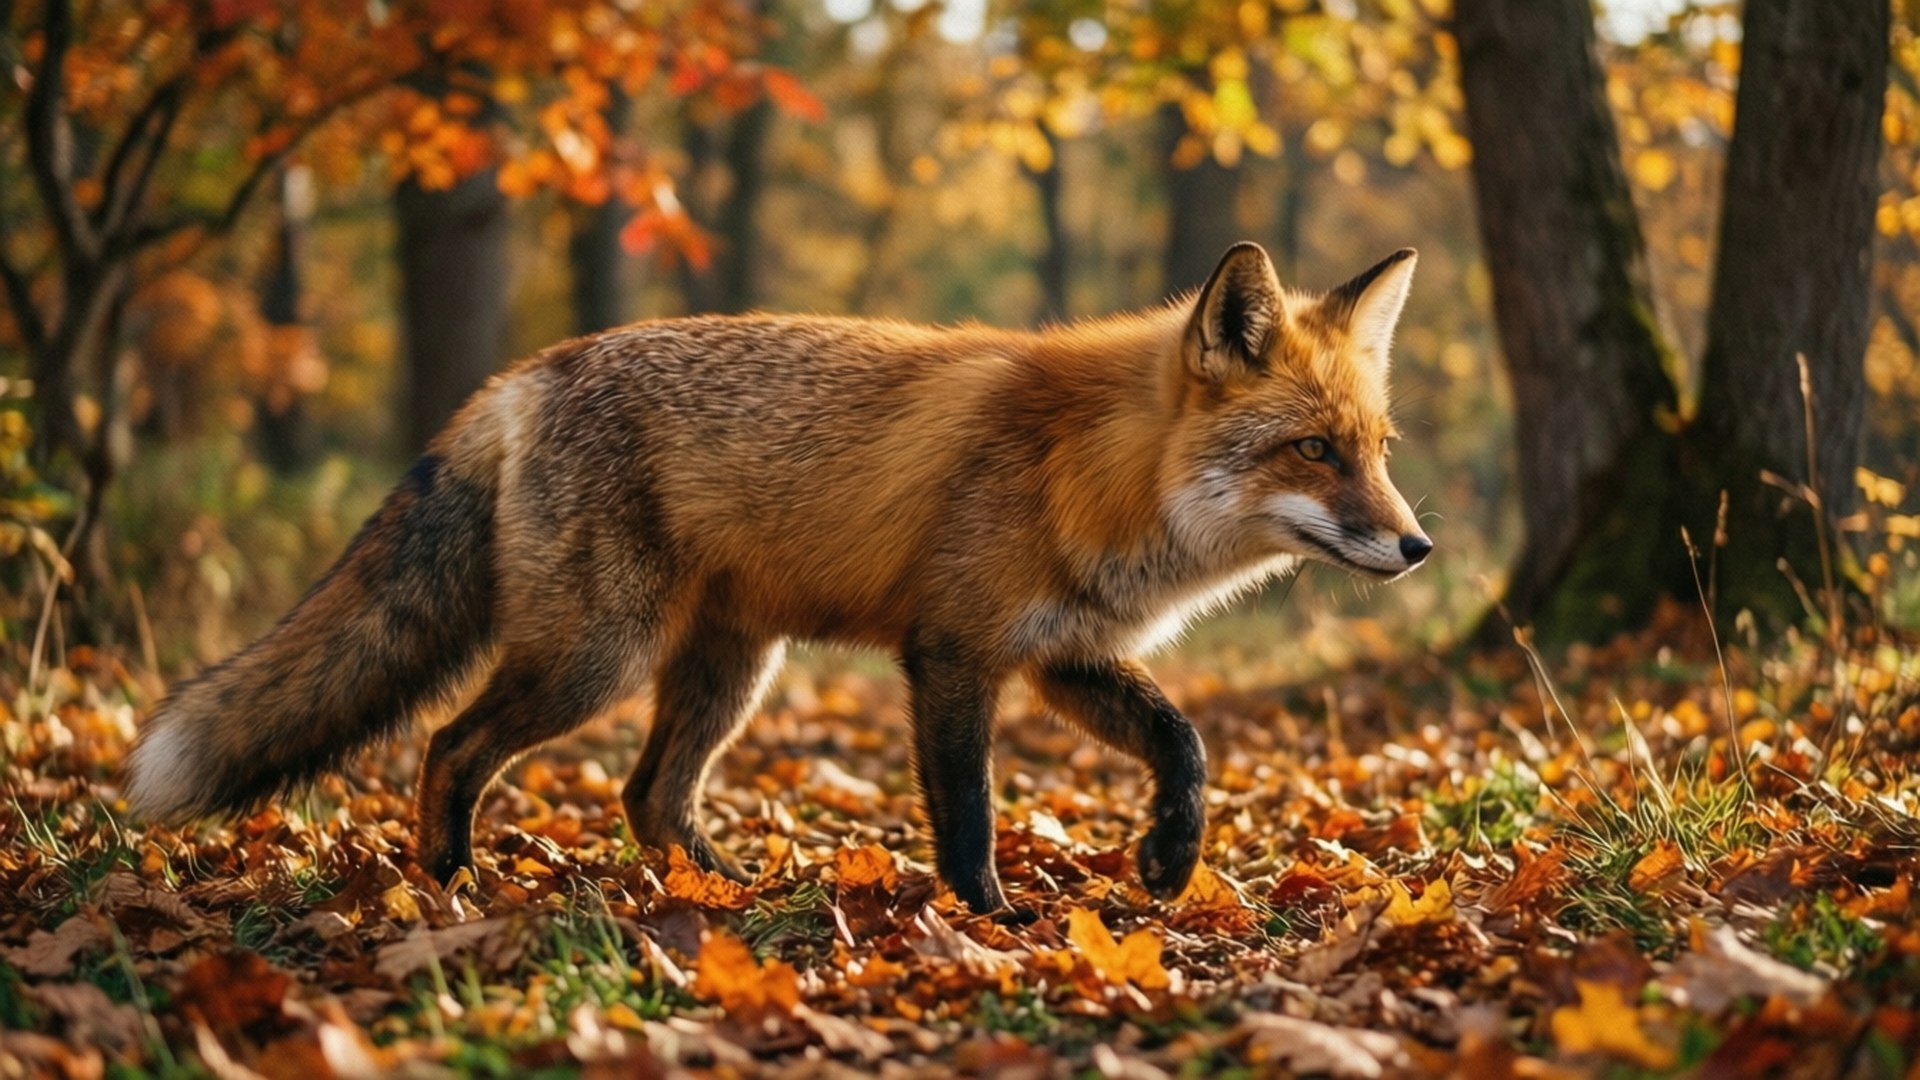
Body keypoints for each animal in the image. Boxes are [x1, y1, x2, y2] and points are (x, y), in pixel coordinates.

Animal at [124, 242, 1431, 916]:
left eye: (1378, 448)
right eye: (1313, 451)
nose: (1419, 548)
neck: (1092, 469)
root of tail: (519, 377)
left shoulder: (1061, 654)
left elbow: (1184, 743)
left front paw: (1168, 857)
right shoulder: (953, 651)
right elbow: (968, 809)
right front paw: (989, 917)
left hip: (730, 670)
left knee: (648, 795)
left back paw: (726, 895)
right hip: (598, 659)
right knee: (452, 744)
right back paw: (446, 887)